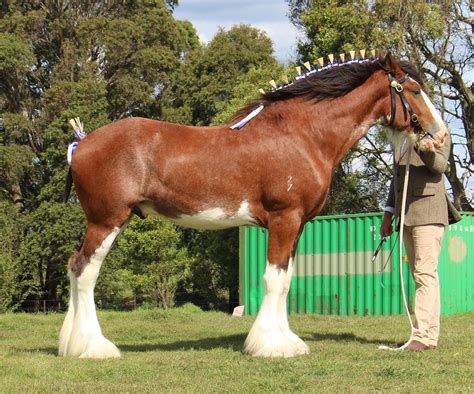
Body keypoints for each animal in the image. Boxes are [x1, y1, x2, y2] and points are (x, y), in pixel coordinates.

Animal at [59, 53, 448, 360]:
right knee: (84, 271)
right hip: (107, 220)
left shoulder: (297, 225)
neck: (302, 134)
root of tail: (82, 144)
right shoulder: (284, 219)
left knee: (73, 266)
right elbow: (273, 280)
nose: (441, 134)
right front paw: (271, 346)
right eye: (414, 90)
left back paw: (70, 343)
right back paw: (94, 347)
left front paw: (284, 340)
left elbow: (286, 279)